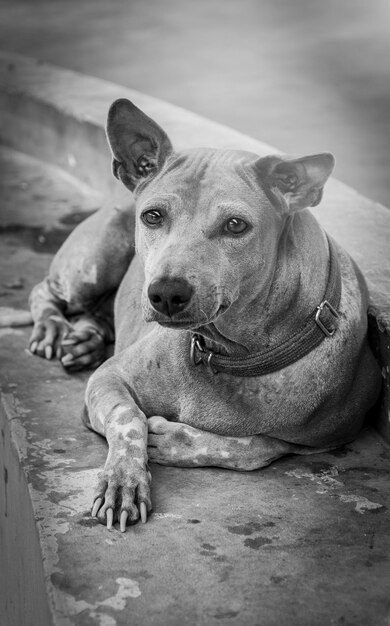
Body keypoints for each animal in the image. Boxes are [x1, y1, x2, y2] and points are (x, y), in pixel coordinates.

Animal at [29, 97, 382, 532]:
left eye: (235, 225)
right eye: (152, 216)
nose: (166, 293)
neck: (232, 352)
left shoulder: (332, 435)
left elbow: (258, 446)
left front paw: (176, 440)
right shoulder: (109, 379)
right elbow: (128, 420)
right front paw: (123, 479)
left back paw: (85, 338)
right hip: (90, 265)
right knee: (45, 290)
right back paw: (52, 328)